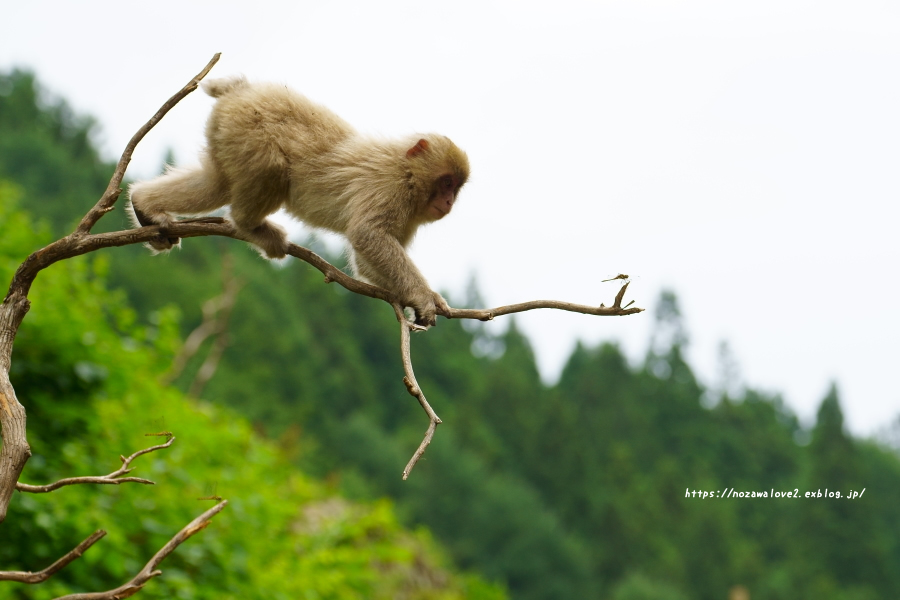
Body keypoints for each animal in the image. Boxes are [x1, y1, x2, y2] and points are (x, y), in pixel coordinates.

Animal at [132, 78, 472, 328]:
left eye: (456, 188)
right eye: (446, 182)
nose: (448, 201)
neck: (408, 174)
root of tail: (241, 88)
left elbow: (364, 262)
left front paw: (425, 297)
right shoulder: (388, 188)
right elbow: (368, 236)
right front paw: (422, 296)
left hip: (226, 130)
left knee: (217, 184)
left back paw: (144, 206)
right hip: (247, 125)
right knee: (271, 168)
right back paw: (249, 225)